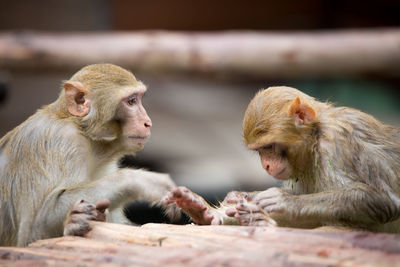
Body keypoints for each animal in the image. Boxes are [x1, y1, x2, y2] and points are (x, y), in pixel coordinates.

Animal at [0, 63, 180, 247]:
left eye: (139, 98)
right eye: (131, 101)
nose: (148, 122)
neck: (88, 136)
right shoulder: (60, 142)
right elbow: (32, 232)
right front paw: (143, 181)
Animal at [163, 87, 400, 233]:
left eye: (268, 147)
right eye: (260, 151)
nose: (266, 165)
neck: (316, 138)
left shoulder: (339, 143)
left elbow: (383, 201)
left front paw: (284, 202)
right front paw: (205, 212)